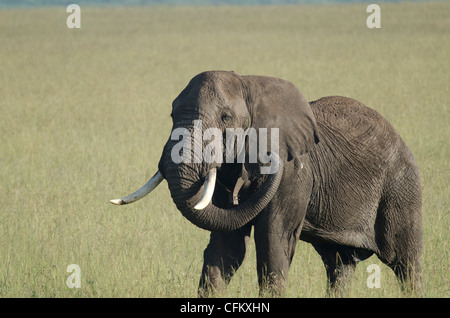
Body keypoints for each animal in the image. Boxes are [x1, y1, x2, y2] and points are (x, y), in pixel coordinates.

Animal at [110, 71, 424, 296]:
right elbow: (227, 244)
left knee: (406, 263)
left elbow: (274, 240)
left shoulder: (294, 174)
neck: (250, 85)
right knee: (339, 264)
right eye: (172, 115)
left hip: (400, 186)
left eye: (225, 117)